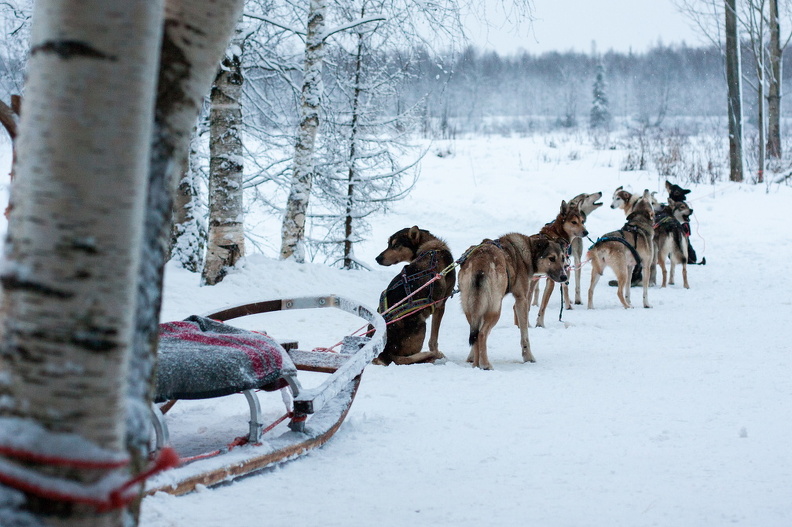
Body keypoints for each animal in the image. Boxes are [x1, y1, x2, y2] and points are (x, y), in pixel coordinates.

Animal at [458, 235, 568, 372]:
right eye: (552, 258)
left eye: (563, 258)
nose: (565, 277)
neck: (526, 252)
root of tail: (480, 261)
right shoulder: (522, 300)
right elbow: (525, 335)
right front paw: (528, 357)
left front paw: (472, 358)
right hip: (495, 310)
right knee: (482, 334)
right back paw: (485, 364)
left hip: (472, 309)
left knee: (476, 334)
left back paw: (477, 365)